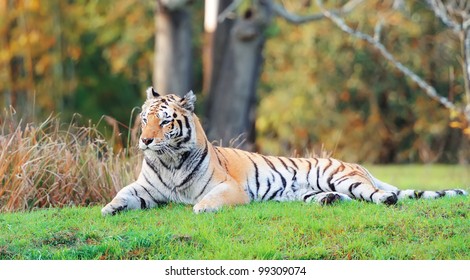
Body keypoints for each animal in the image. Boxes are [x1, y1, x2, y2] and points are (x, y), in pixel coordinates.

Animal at [100, 86, 466, 215]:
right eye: (144, 120)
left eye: (164, 122)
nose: (145, 141)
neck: (170, 160)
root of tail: (361, 166)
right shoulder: (147, 188)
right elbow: (124, 193)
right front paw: (110, 208)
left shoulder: (228, 187)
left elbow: (209, 200)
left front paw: (200, 208)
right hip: (307, 192)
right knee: (344, 199)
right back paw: (330, 201)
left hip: (343, 177)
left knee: (375, 194)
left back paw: (386, 198)